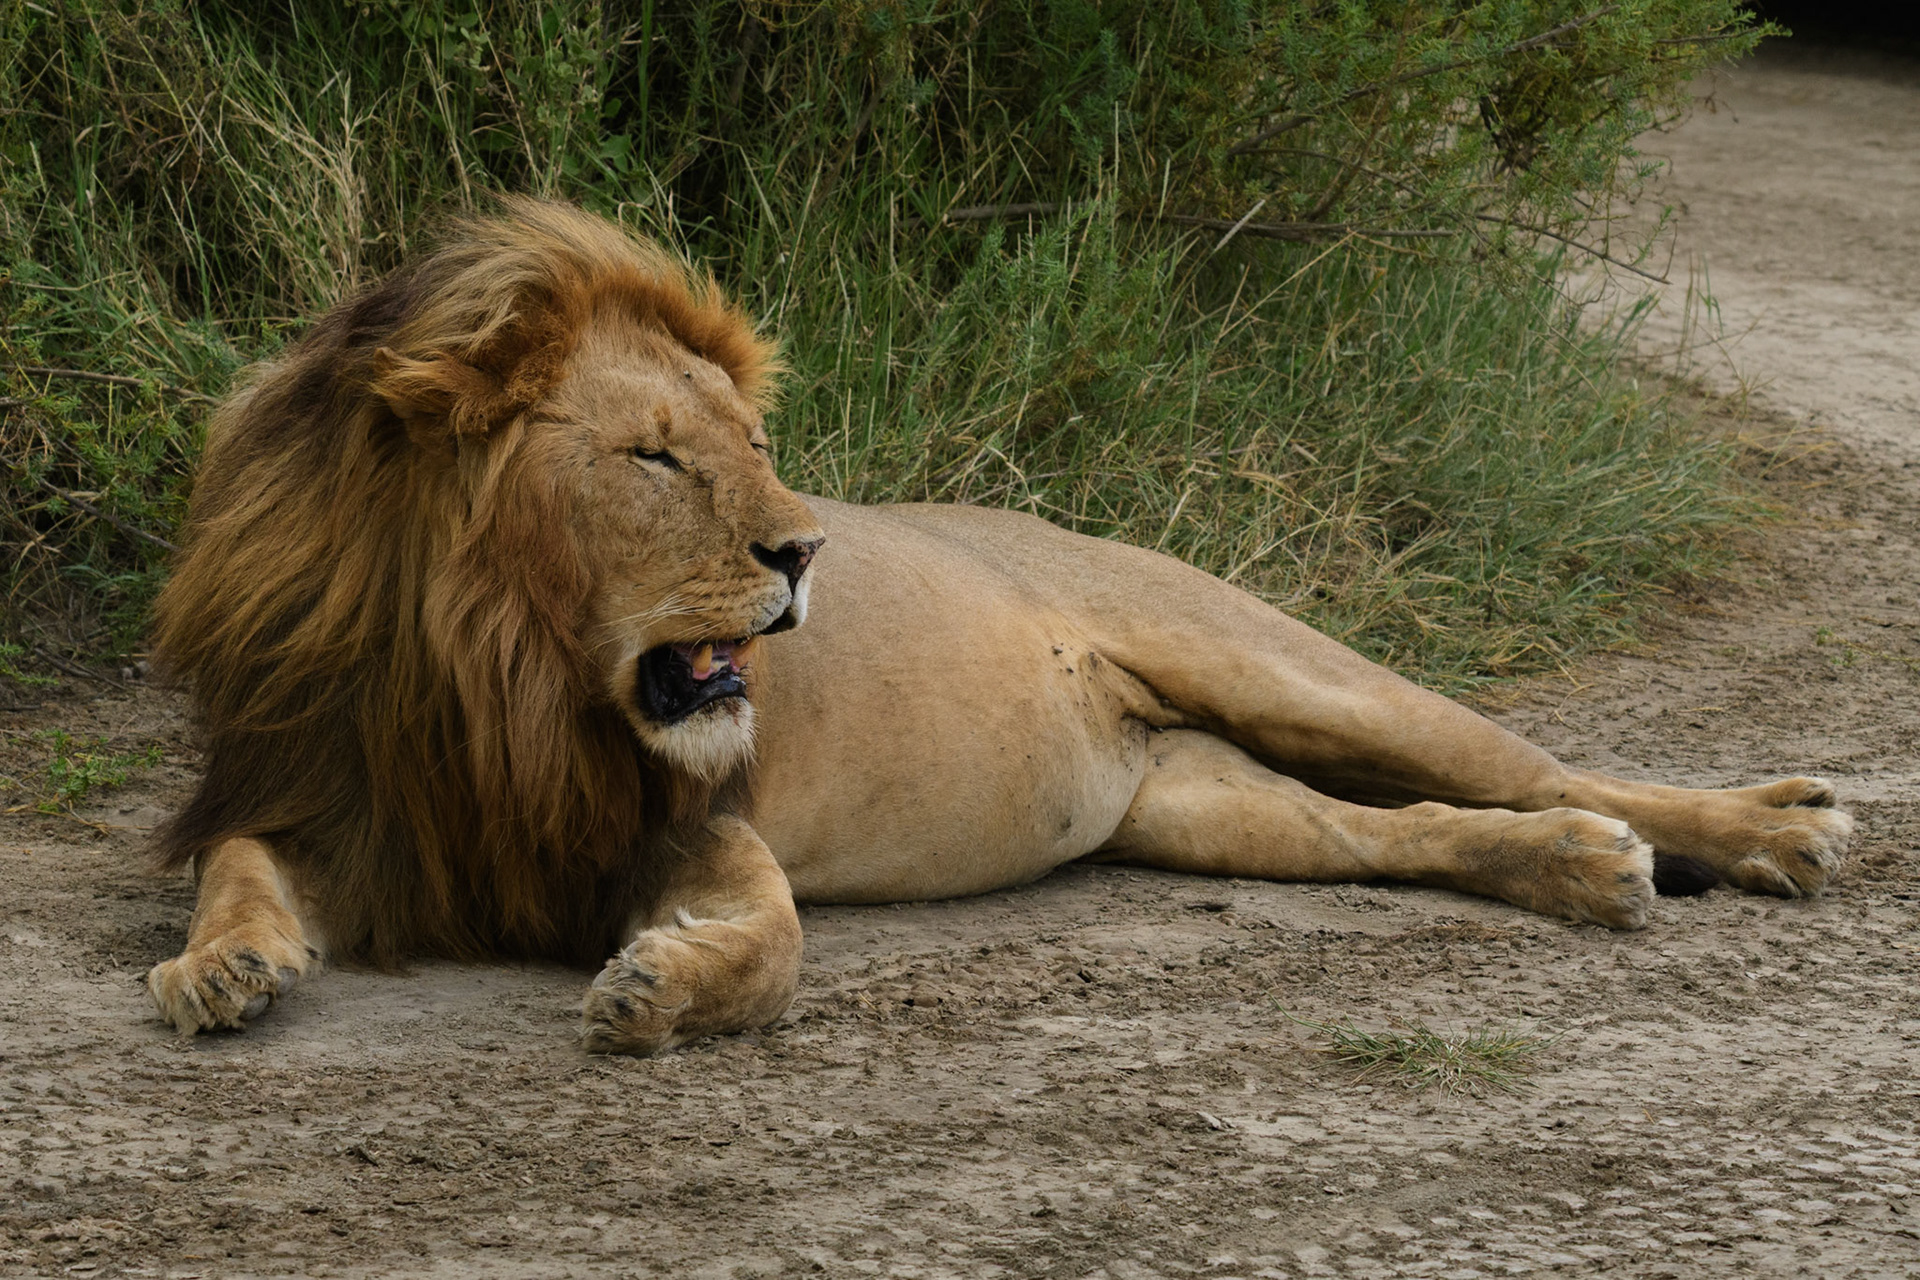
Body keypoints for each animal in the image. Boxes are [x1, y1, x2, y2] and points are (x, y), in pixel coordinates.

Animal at [145, 199, 1854, 1054]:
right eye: (652, 458)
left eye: (749, 439)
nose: (804, 551)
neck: (492, 682)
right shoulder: (323, 794)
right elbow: (237, 872)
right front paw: (221, 972)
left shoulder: (702, 823)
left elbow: (772, 948)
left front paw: (657, 990)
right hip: (1198, 800)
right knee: (1408, 833)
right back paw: (1578, 870)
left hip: (1290, 669)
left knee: (1540, 761)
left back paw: (1776, 828)